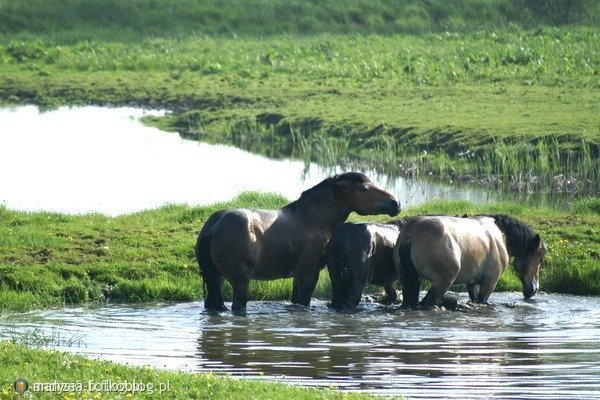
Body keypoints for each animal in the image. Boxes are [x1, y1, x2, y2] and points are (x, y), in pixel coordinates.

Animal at [197, 173, 400, 314]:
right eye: (364, 188)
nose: (395, 203)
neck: (314, 219)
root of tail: (213, 226)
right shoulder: (310, 272)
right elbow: (304, 301)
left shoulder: (297, 275)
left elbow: (296, 300)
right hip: (240, 281)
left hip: (217, 278)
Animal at [394, 214, 548, 308]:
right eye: (540, 258)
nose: (533, 290)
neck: (500, 235)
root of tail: (412, 235)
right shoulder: (489, 283)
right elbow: (482, 301)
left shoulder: (472, 283)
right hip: (441, 283)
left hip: (411, 281)